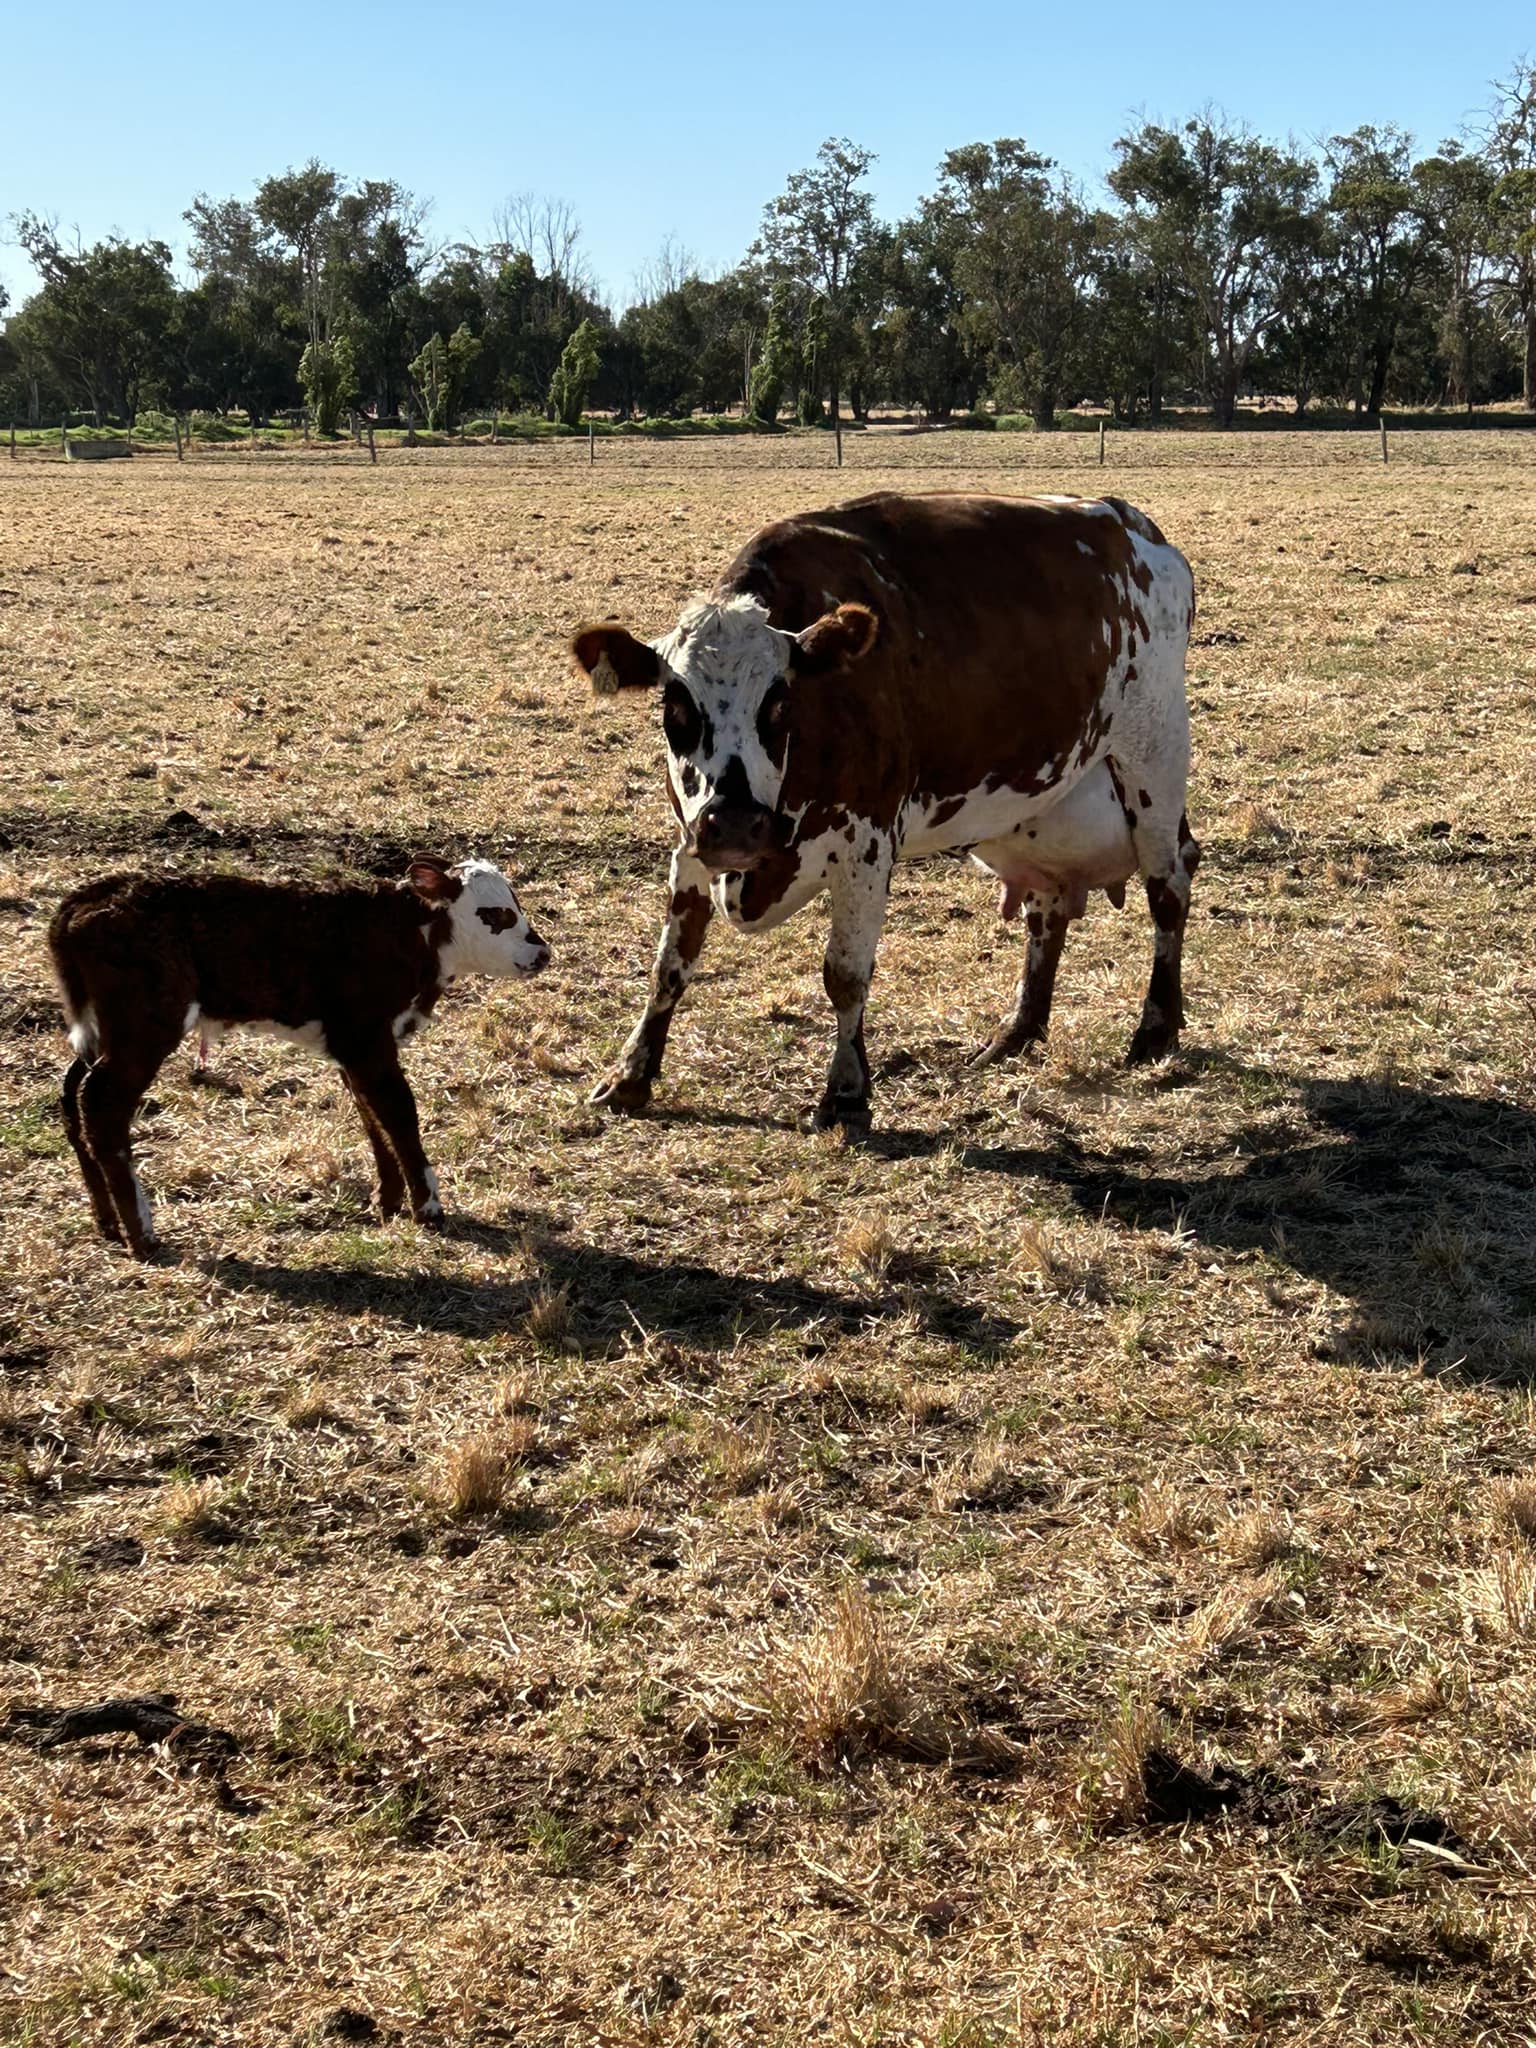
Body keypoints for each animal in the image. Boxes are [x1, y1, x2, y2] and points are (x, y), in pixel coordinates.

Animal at [48, 856, 548, 1253]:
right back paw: (143, 1235)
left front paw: (386, 1202)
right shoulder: (366, 1039)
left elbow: (372, 1116)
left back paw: (108, 1222)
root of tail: (88, 898)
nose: (542, 953)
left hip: (105, 1033)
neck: (406, 933)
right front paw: (428, 1207)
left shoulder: (353, 1047)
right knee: (101, 1104)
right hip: (146, 1027)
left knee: (72, 1096)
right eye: (498, 914)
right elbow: (398, 1112)